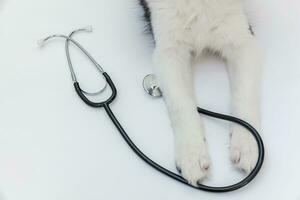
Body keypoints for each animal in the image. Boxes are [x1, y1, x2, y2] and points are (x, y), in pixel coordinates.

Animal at [138, 0, 262, 186]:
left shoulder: (243, 40)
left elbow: (245, 97)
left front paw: (246, 143)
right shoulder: (168, 50)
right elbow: (181, 103)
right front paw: (191, 154)